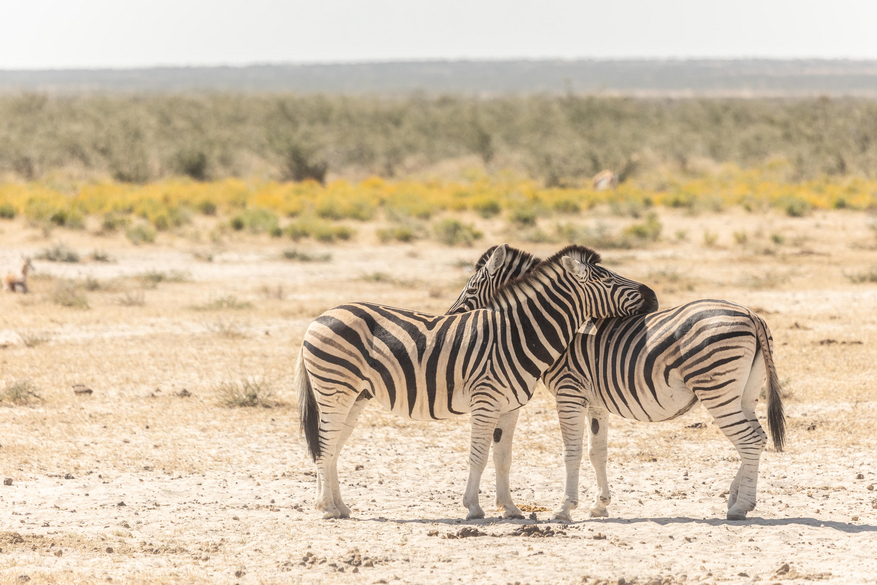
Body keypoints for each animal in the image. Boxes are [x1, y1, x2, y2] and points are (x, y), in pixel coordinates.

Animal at [296, 244, 656, 516]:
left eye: (470, 288)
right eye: (606, 279)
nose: (652, 295)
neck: (516, 334)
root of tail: (320, 317)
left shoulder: (510, 406)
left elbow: (503, 457)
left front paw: (510, 508)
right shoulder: (486, 400)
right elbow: (479, 454)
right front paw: (473, 507)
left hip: (355, 395)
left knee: (334, 444)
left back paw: (340, 506)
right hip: (334, 390)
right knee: (325, 443)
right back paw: (326, 507)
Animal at [456, 246, 784, 520]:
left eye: (470, 288)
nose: (451, 317)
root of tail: (752, 315)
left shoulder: (569, 392)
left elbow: (572, 452)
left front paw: (565, 509)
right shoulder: (596, 402)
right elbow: (597, 452)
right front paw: (600, 505)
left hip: (717, 389)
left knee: (748, 440)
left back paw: (741, 507)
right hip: (744, 393)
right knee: (757, 438)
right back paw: (735, 498)